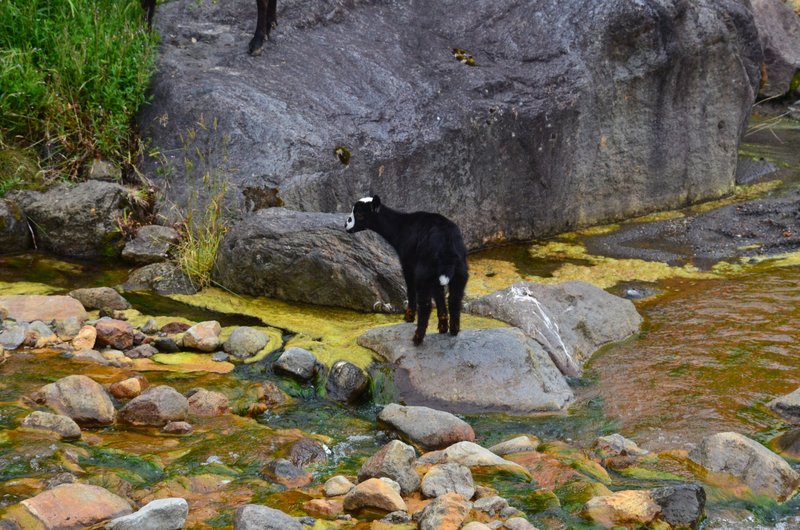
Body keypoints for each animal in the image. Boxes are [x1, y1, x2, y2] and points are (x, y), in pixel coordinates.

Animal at [346, 196, 469, 346]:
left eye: (359, 214)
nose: (346, 226)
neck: (400, 227)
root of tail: (446, 244)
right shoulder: (435, 276)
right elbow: (439, 294)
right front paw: (443, 327)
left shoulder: (408, 263)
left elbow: (410, 289)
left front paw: (408, 317)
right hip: (459, 270)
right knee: (454, 299)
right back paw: (454, 331)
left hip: (424, 270)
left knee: (425, 304)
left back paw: (417, 338)